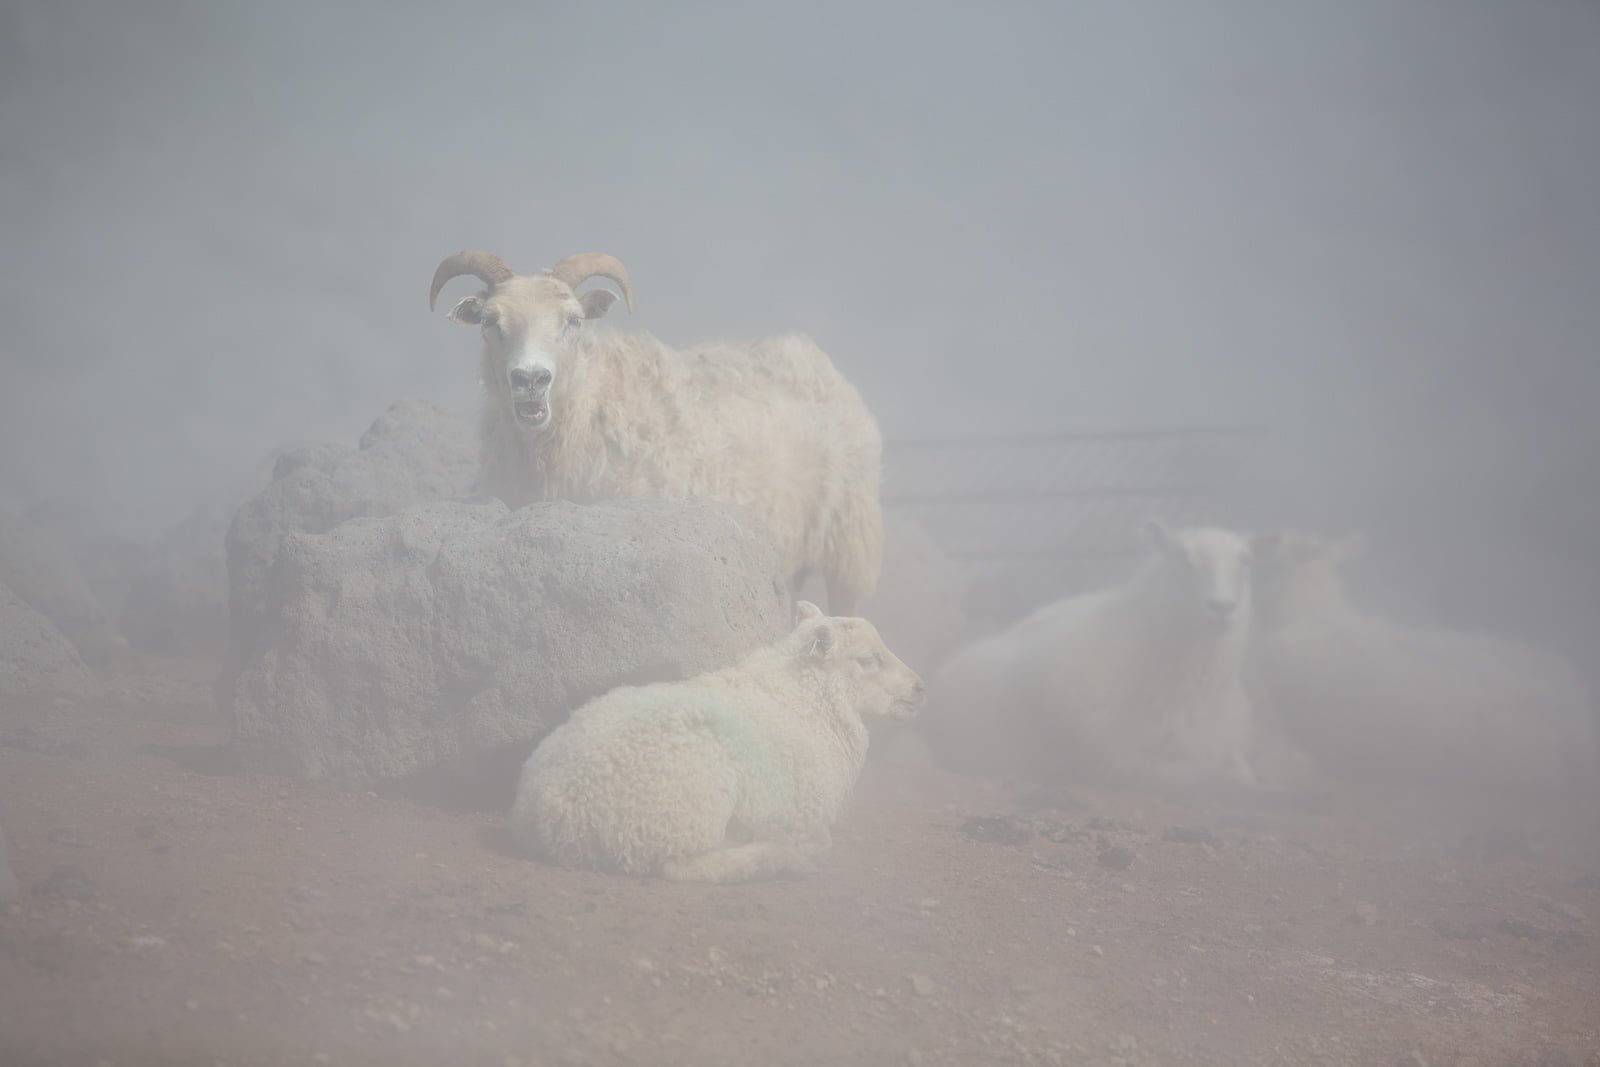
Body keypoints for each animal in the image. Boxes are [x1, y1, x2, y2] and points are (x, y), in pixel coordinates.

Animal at [510, 601, 924, 883]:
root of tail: (551, 810)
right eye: (867, 659)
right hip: (679, 813)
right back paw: (777, 855)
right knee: (680, 867)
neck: (804, 699)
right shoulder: (801, 812)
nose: (920, 688)